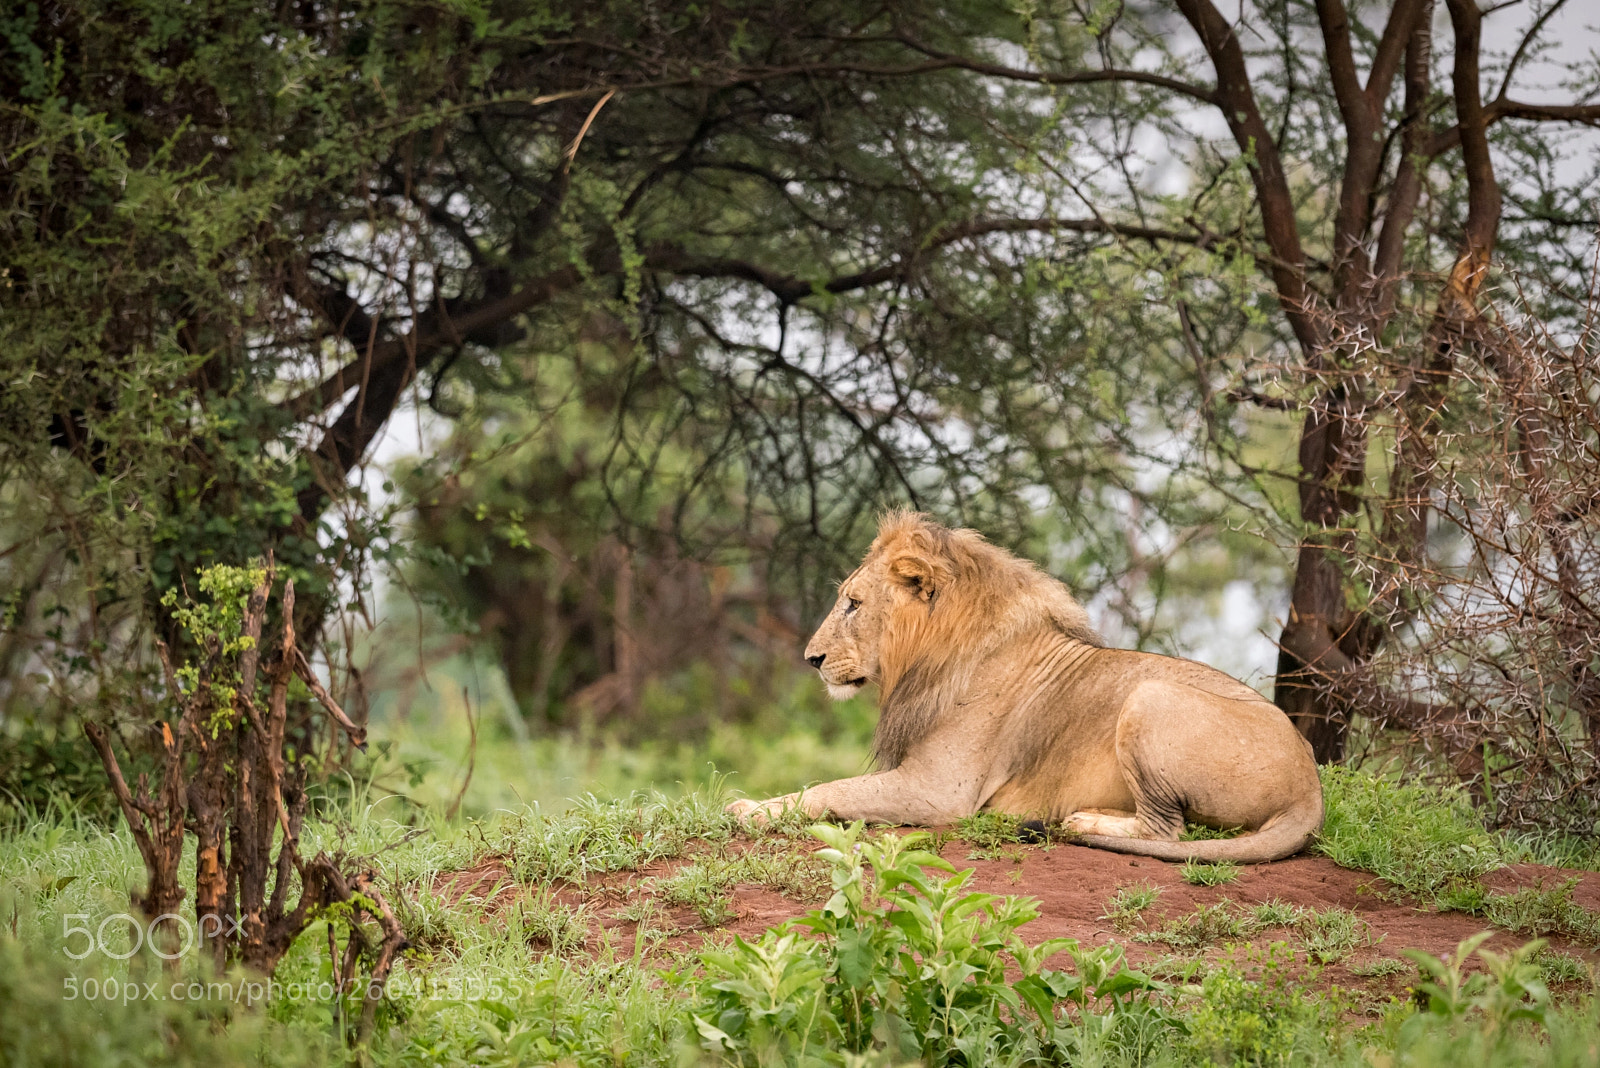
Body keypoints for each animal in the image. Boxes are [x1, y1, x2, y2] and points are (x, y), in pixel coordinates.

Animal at [726, 512, 1323, 863]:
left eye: (853, 603)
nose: (811, 659)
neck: (930, 657)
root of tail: (1311, 787)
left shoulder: (939, 791)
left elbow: (830, 790)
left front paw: (750, 809)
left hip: (1149, 696)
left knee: (1167, 830)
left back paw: (1083, 820)